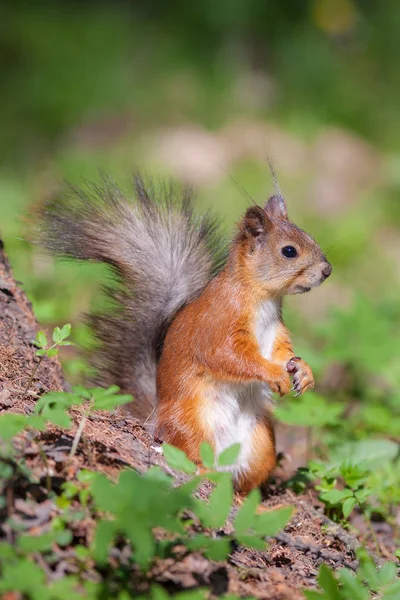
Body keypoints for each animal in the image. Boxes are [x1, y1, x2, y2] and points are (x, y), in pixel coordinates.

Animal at [38, 171, 332, 490]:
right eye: (289, 251)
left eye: (310, 236)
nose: (327, 270)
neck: (263, 298)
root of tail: (154, 418)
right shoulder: (217, 325)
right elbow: (229, 357)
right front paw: (274, 374)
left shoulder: (275, 332)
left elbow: (282, 353)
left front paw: (303, 371)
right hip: (191, 425)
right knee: (189, 455)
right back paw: (202, 471)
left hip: (260, 442)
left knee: (242, 482)